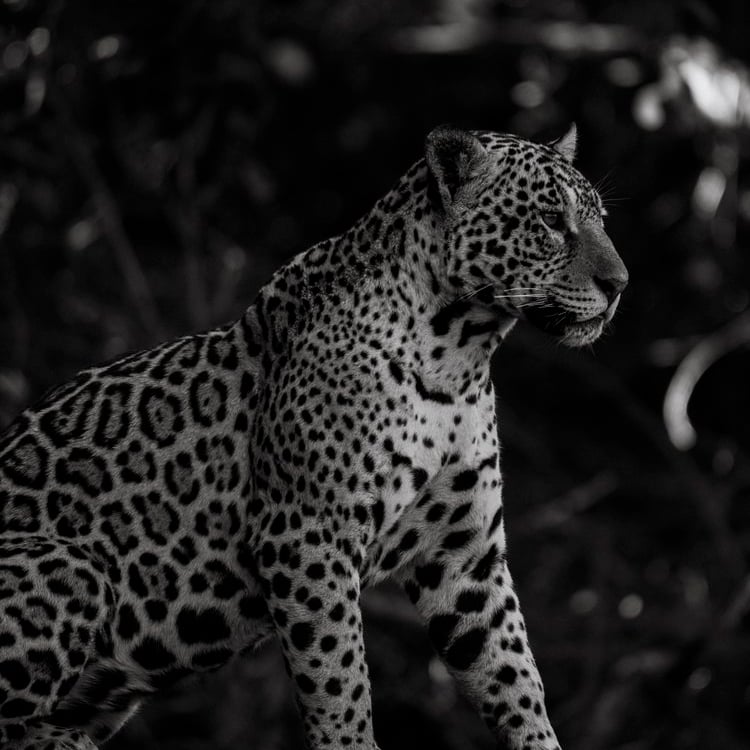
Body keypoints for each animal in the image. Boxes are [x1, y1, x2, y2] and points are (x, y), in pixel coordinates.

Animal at [0, 124, 627, 750]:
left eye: (599, 219)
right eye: (551, 220)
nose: (619, 282)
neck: (459, 358)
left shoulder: (464, 557)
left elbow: (515, 681)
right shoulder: (307, 535)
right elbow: (339, 681)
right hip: (74, 569)